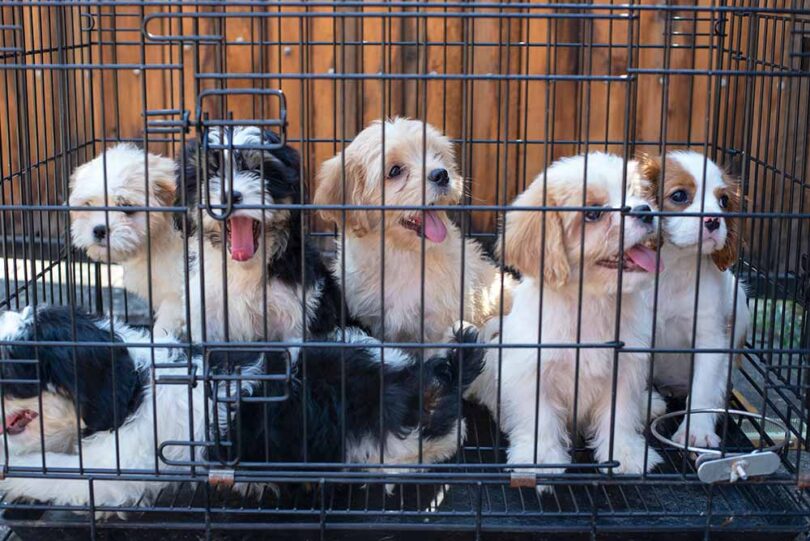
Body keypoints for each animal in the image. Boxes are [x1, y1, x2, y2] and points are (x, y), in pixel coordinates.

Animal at [0, 305, 483, 508]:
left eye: (10, 371)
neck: (133, 382)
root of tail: (418, 372)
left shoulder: (110, 473)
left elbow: (45, 472)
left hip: (387, 444)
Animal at [182, 126, 342, 343]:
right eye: (211, 172)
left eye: (258, 171)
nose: (229, 196)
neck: (244, 267)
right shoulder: (206, 308)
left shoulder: (294, 311)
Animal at [472, 153, 665, 493]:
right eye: (594, 213)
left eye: (636, 193)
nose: (645, 210)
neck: (591, 302)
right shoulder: (532, 372)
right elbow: (540, 417)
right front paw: (540, 460)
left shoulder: (625, 369)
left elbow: (620, 415)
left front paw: (625, 454)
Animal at [636, 151, 750, 448]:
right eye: (679, 196)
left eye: (723, 201)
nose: (713, 220)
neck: (673, 266)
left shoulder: (710, 339)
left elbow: (703, 389)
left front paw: (695, 431)